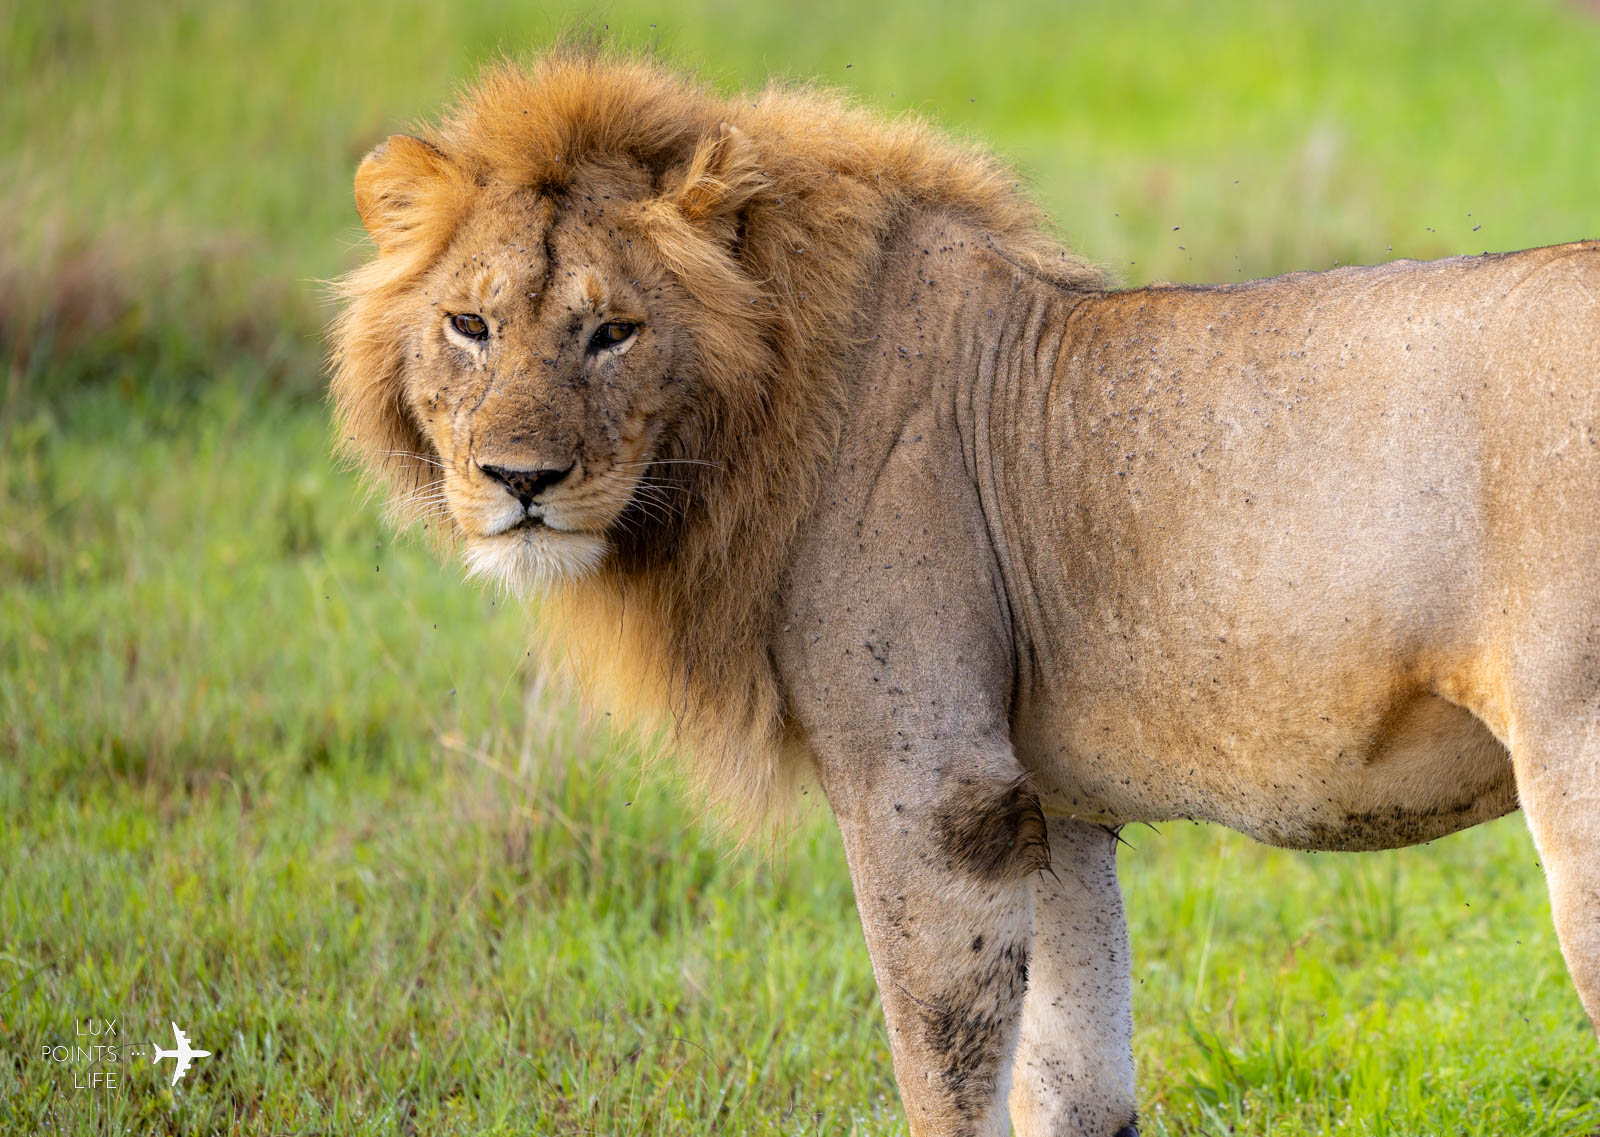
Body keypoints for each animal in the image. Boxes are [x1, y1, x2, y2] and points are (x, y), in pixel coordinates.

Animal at [328, 46, 1600, 1137]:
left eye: (614, 332)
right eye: (470, 324)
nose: (519, 481)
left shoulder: (932, 788)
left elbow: (937, 1066)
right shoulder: (1047, 806)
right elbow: (1074, 1081)